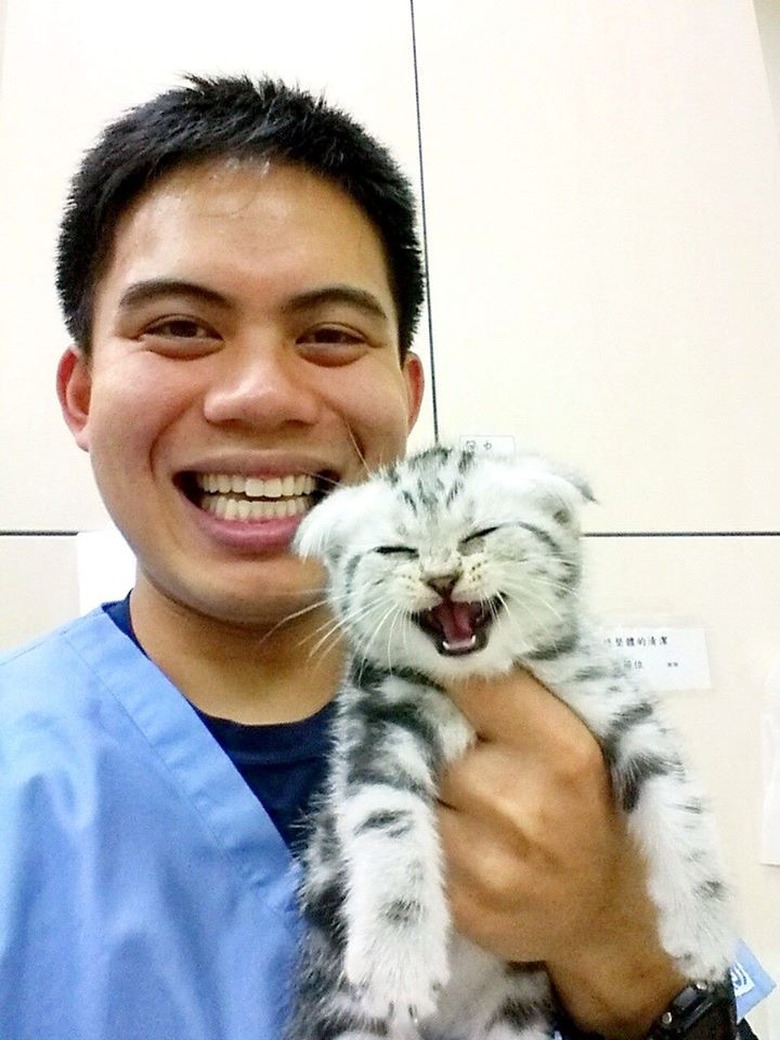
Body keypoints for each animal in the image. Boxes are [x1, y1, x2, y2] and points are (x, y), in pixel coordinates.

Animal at [284, 445, 732, 1040]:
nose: (441, 578)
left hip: (515, 1009)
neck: (479, 673)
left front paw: (706, 927)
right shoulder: (376, 728)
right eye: (398, 550)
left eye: (480, 534)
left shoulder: (611, 696)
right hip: (340, 1006)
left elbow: (677, 801)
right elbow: (388, 826)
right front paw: (398, 960)